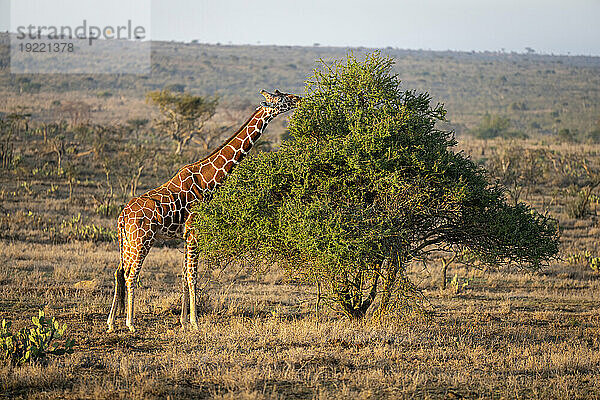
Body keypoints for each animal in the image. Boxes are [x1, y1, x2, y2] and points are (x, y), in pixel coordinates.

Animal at [106, 89, 300, 332]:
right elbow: (192, 276)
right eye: (282, 98)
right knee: (131, 275)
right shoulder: (195, 233)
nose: (298, 99)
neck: (208, 180)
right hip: (142, 239)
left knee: (119, 272)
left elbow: (183, 275)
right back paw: (130, 324)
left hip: (126, 241)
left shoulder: (185, 236)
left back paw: (111, 322)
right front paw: (195, 322)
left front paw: (182, 320)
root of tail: (122, 217)